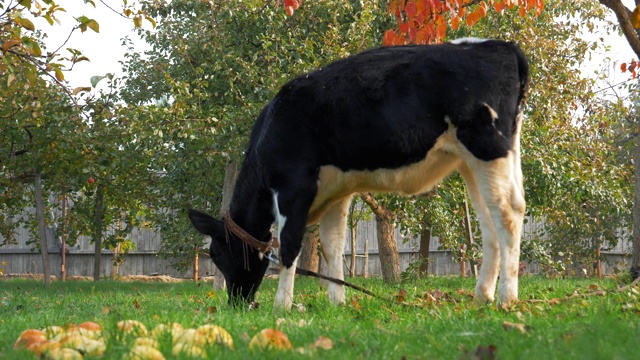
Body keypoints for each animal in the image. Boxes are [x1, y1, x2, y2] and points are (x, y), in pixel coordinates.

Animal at [190, 38, 528, 310]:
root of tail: (500, 46)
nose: (236, 303)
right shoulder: (336, 193)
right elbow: (332, 246)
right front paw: (337, 302)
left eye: (217, 253)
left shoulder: (293, 187)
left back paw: (506, 298)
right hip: (474, 161)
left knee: (508, 214)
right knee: (489, 223)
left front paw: (281, 306)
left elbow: (289, 245)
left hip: (487, 147)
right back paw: (482, 295)